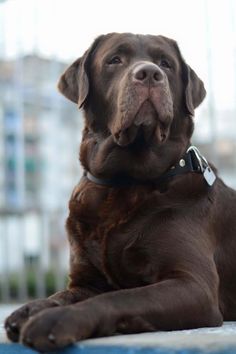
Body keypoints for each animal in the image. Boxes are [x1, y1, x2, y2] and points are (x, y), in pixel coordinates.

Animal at [4, 32, 236, 352]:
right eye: (114, 60)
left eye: (166, 63)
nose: (150, 73)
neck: (124, 181)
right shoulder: (86, 282)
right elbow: (61, 295)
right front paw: (30, 309)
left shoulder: (194, 285)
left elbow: (123, 296)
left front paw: (56, 320)